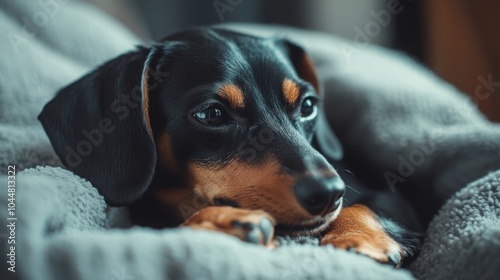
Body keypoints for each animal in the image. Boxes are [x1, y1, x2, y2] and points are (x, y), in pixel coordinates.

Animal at [39, 28, 418, 266]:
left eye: (308, 105)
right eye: (212, 113)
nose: (329, 194)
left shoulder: (392, 198)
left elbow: (366, 205)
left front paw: (360, 238)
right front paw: (220, 222)